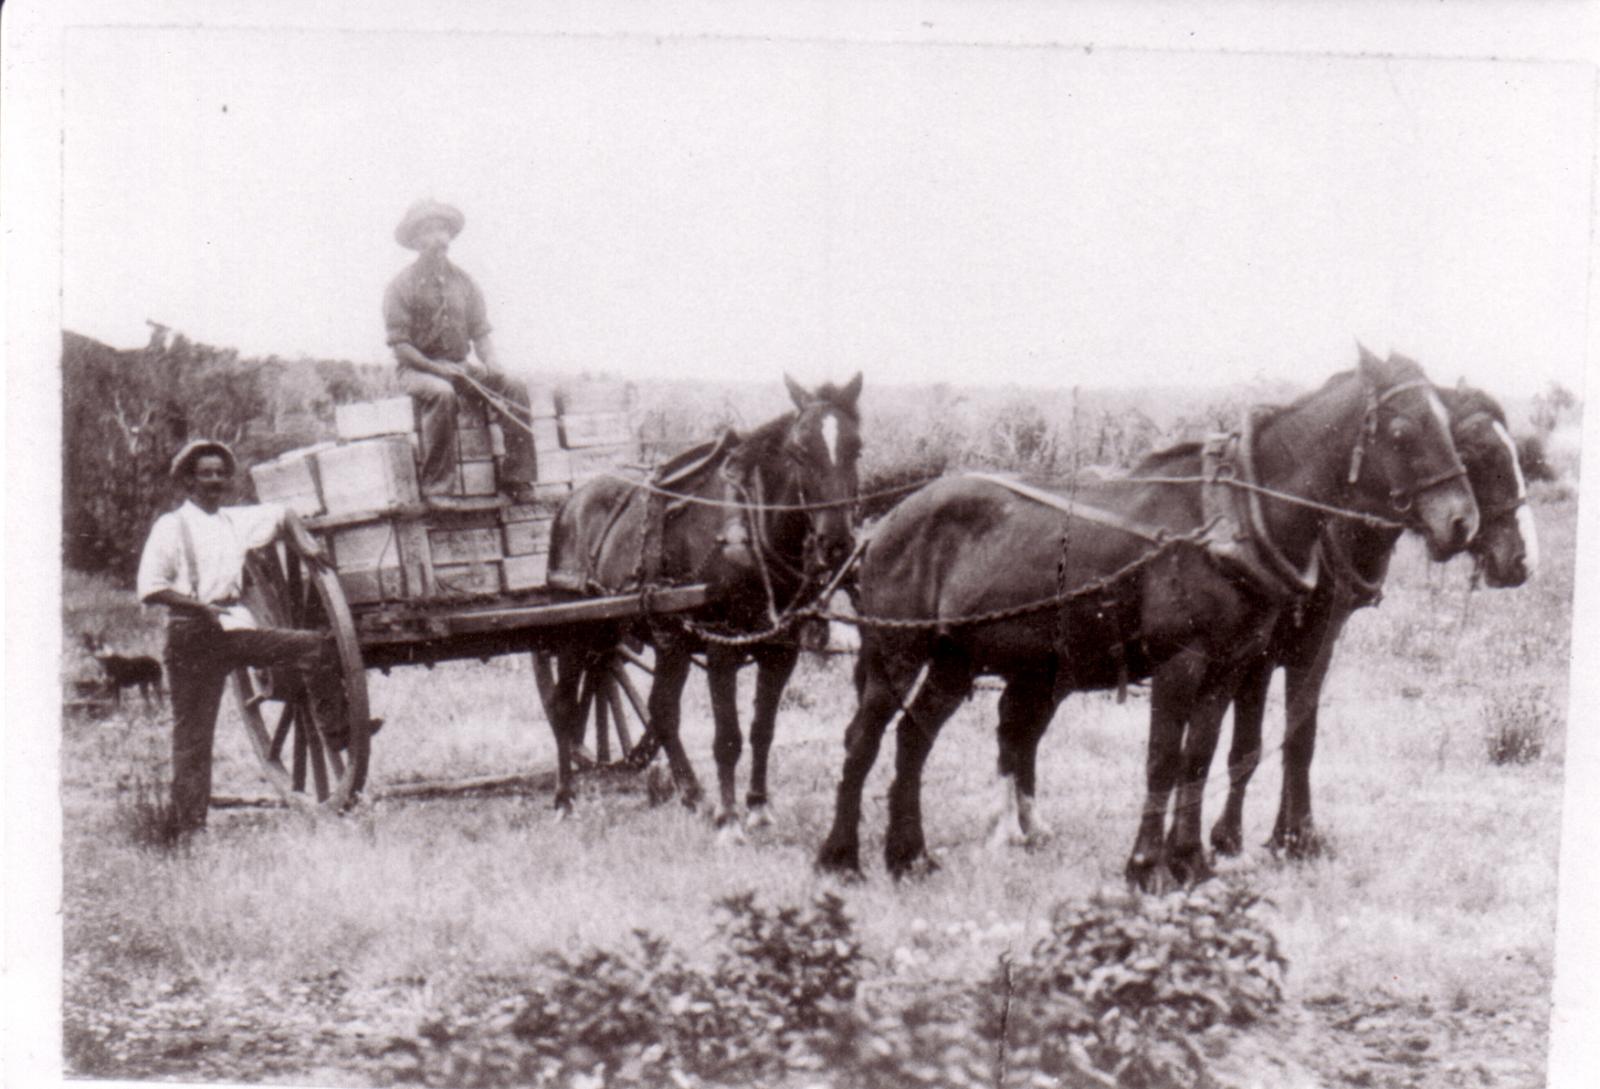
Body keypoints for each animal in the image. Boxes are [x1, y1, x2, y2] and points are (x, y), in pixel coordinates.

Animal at [544, 374, 864, 825]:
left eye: (857, 448)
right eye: (800, 452)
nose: (835, 542)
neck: (748, 524)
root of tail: (571, 503)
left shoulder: (781, 650)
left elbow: (762, 729)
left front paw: (758, 805)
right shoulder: (720, 646)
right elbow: (727, 737)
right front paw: (730, 819)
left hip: (664, 640)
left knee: (660, 710)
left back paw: (692, 793)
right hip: (577, 635)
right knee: (563, 708)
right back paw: (564, 797)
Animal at [819, 348, 1478, 882]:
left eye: (1448, 425)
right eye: (1401, 428)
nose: (1461, 522)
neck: (1232, 517)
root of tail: (889, 521)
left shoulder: (1228, 666)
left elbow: (1199, 756)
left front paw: (1189, 861)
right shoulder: (1179, 662)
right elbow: (1163, 759)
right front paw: (1144, 865)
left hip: (957, 658)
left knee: (914, 738)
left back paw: (909, 856)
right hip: (899, 652)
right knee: (864, 739)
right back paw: (841, 857)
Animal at [1203, 382, 1542, 857]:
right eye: (1473, 453)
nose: (1523, 560)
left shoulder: (1317, 646)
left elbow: (1299, 737)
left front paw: (1294, 835)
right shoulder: (1259, 655)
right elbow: (1247, 746)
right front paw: (1228, 835)